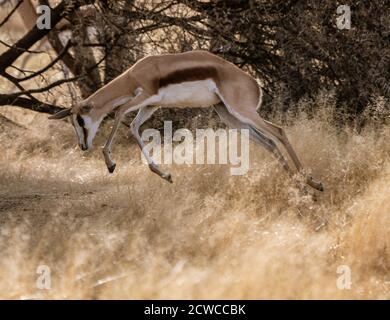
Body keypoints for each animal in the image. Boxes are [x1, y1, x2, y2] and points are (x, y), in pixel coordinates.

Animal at [48, 50, 322, 190]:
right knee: (269, 142)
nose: (83, 146)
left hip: (242, 111)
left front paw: (110, 163)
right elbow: (134, 127)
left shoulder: (145, 97)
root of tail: (253, 83)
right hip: (230, 116)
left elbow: (118, 114)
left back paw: (313, 183)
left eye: (80, 120)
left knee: (279, 131)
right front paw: (164, 175)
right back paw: (301, 186)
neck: (137, 73)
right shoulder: (150, 105)